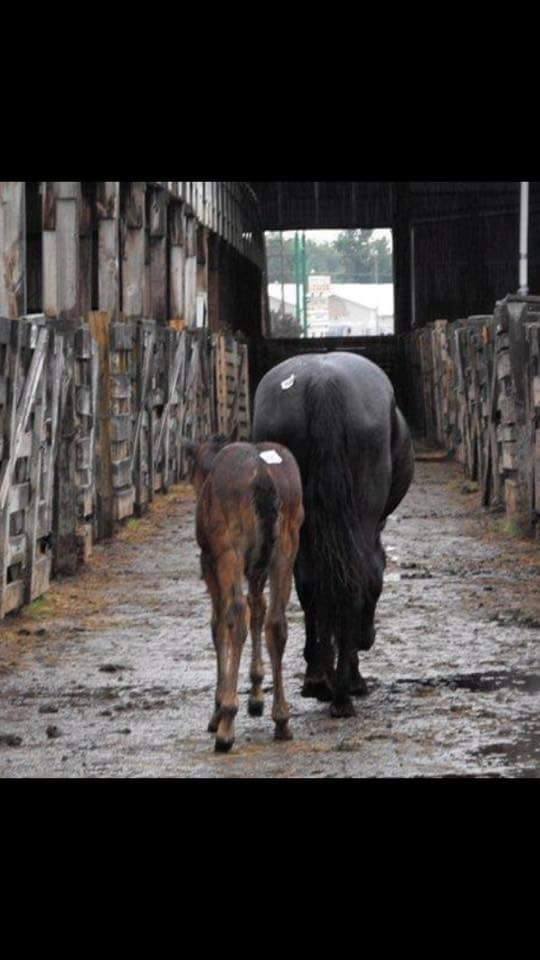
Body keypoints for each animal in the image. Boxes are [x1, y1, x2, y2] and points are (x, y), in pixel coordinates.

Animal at [185, 434, 304, 752]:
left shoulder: (209, 560)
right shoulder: (257, 567)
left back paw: (226, 725)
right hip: (285, 547)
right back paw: (282, 718)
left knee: (236, 614)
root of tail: (263, 474)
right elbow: (259, 610)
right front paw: (256, 694)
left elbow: (219, 623)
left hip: (230, 550)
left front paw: (218, 709)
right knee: (276, 622)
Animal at [252, 351, 414, 719]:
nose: (369, 638)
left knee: (314, 584)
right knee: (354, 580)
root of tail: (322, 382)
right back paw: (344, 690)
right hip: (360, 521)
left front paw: (318, 676)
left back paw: (323, 682)